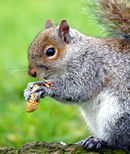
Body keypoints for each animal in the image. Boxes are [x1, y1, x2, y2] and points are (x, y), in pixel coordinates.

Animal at [23, 0, 129, 152]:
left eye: (50, 51)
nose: (31, 73)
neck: (75, 52)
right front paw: (29, 89)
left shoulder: (91, 68)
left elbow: (76, 89)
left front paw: (44, 88)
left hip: (117, 115)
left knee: (119, 141)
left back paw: (99, 141)